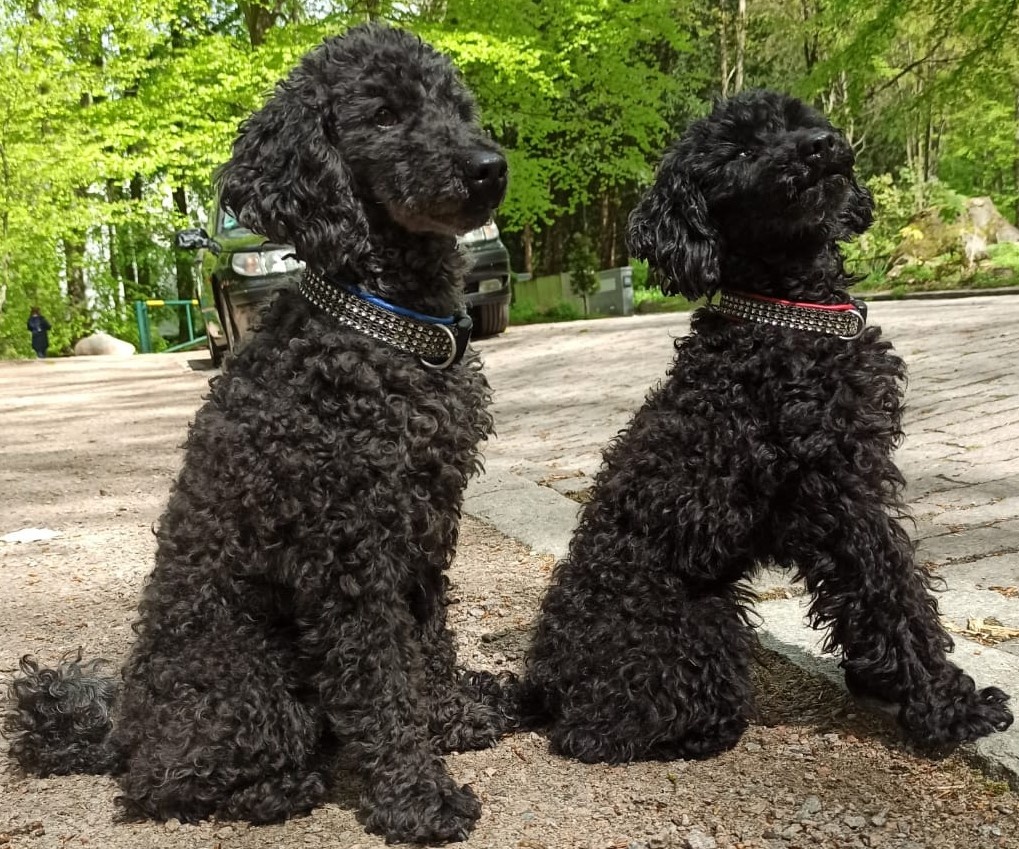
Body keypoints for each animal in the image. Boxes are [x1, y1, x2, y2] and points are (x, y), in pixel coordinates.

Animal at [5, 23, 513, 844]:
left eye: (456, 105)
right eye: (384, 113)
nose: (488, 168)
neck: (382, 324)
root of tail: (121, 724)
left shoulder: (426, 531)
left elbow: (430, 643)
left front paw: (455, 718)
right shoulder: (351, 557)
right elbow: (383, 681)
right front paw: (417, 795)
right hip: (256, 694)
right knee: (159, 782)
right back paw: (284, 785)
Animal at [521, 89, 1013, 764]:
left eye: (799, 121)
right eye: (738, 153)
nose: (822, 146)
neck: (786, 315)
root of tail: (542, 684)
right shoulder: (836, 497)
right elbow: (893, 592)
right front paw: (949, 708)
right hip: (706, 633)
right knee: (600, 733)